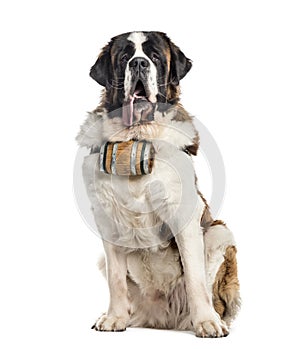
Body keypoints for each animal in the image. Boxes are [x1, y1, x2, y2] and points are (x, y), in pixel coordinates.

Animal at [76, 31, 240, 336]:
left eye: (153, 56)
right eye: (124, 57)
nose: (138, 63)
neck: (138, 137)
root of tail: (163, 318)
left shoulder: (185, 214)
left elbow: (195, 278)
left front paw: (207, 322)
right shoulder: (107, 218)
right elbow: (116, 280)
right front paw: (114, 318)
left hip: (218, 234)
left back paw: (210, 317)